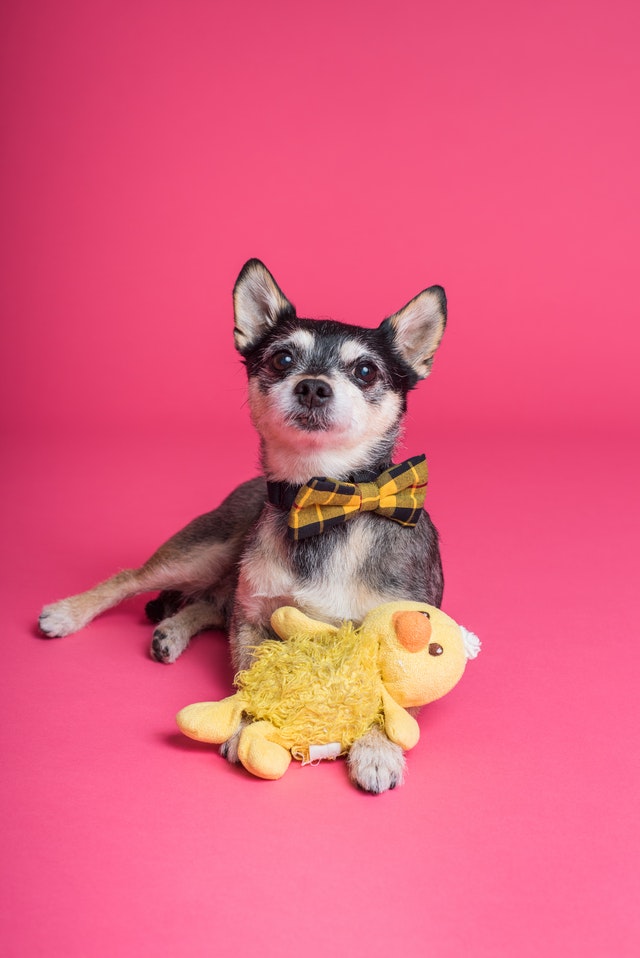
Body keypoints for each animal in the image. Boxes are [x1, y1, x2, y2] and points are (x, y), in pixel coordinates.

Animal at [38, 258, 444, 792]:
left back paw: (170, 631)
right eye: (282, 360)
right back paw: (69, 614)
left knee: (213, 604)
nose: (312, 385)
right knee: (137, 580)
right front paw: (251, 729)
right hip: (206, 552)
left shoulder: (398, 636)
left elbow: (388, 697)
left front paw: (377, 751)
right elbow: (251, 674)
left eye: (365, 370)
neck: (323, 501)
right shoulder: (255, 617)